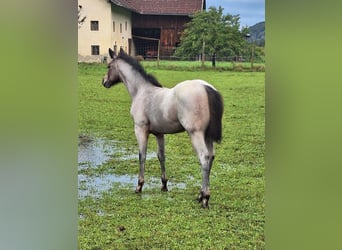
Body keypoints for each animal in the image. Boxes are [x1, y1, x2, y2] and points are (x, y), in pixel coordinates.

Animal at [103, 48, 223, 207]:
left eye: (109, 66)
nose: (104, 82)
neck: (142, 92)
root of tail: (206, 87)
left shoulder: (140, 130)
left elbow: (142, 155)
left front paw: (139, 186)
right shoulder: (159, 134)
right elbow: (161, 156)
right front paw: (164, 185)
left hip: (196, 134)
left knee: (204, 158)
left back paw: (205, 197)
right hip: (207, 135)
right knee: (211, 157)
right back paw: (200, 194)